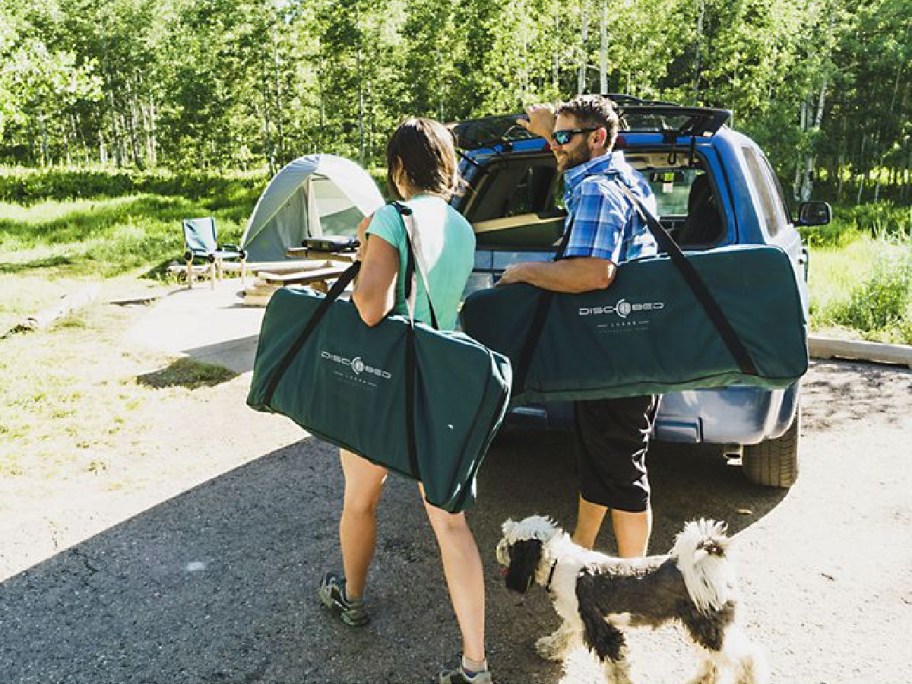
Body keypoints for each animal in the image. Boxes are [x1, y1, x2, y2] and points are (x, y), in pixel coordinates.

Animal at [496, 516, 764, 680]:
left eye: (509, 544)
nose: (498, 548)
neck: (557, 562)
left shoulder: (603, 633)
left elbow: (617, 671)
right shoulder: (578, 619)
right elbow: (564, 635)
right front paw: (549, 648)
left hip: (710, 629)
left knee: (747, 660)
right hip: (703, 629)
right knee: (712, 662)